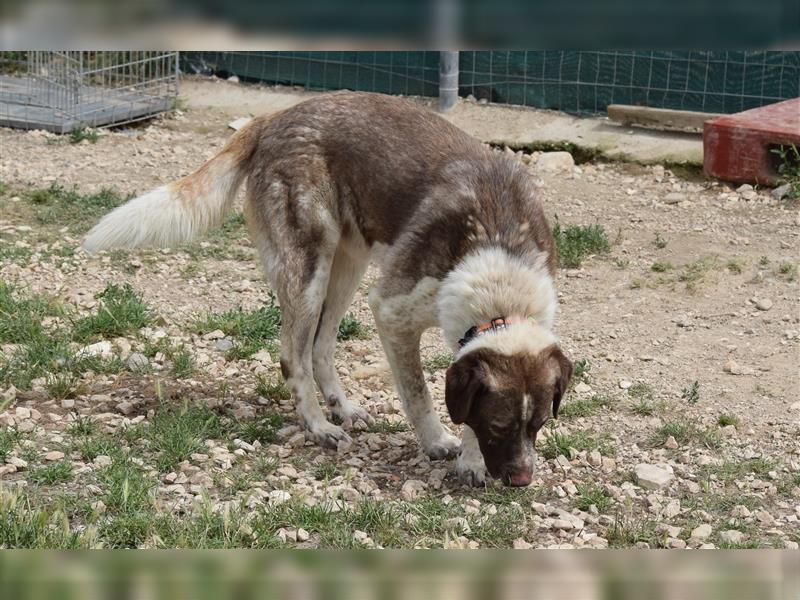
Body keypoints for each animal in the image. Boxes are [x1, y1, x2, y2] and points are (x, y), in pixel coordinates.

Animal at [84, 91, 572, 486]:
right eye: (499, 426)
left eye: (538, 426)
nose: (522, 481)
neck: (500, 277)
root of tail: (275, 117)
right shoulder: (392, 310)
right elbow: (419, 393)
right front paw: (438, 442)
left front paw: (470, 462)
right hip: (308, 273)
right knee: (293, 356)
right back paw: (319, 426)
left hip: (347, 267)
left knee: (320, 346)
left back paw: (343, 407)